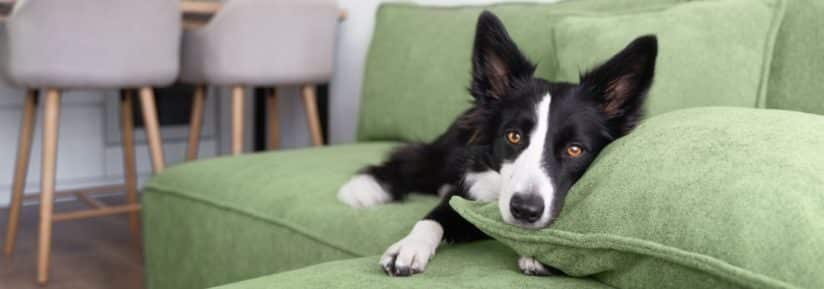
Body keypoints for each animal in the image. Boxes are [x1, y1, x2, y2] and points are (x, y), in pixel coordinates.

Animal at [336, 11, 656, 276]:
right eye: (514, 136)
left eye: (574, 149)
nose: (525, 211)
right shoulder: (468, 191)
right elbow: (433, 218)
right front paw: (408, 247)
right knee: (414, 162)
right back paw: (365, 188)